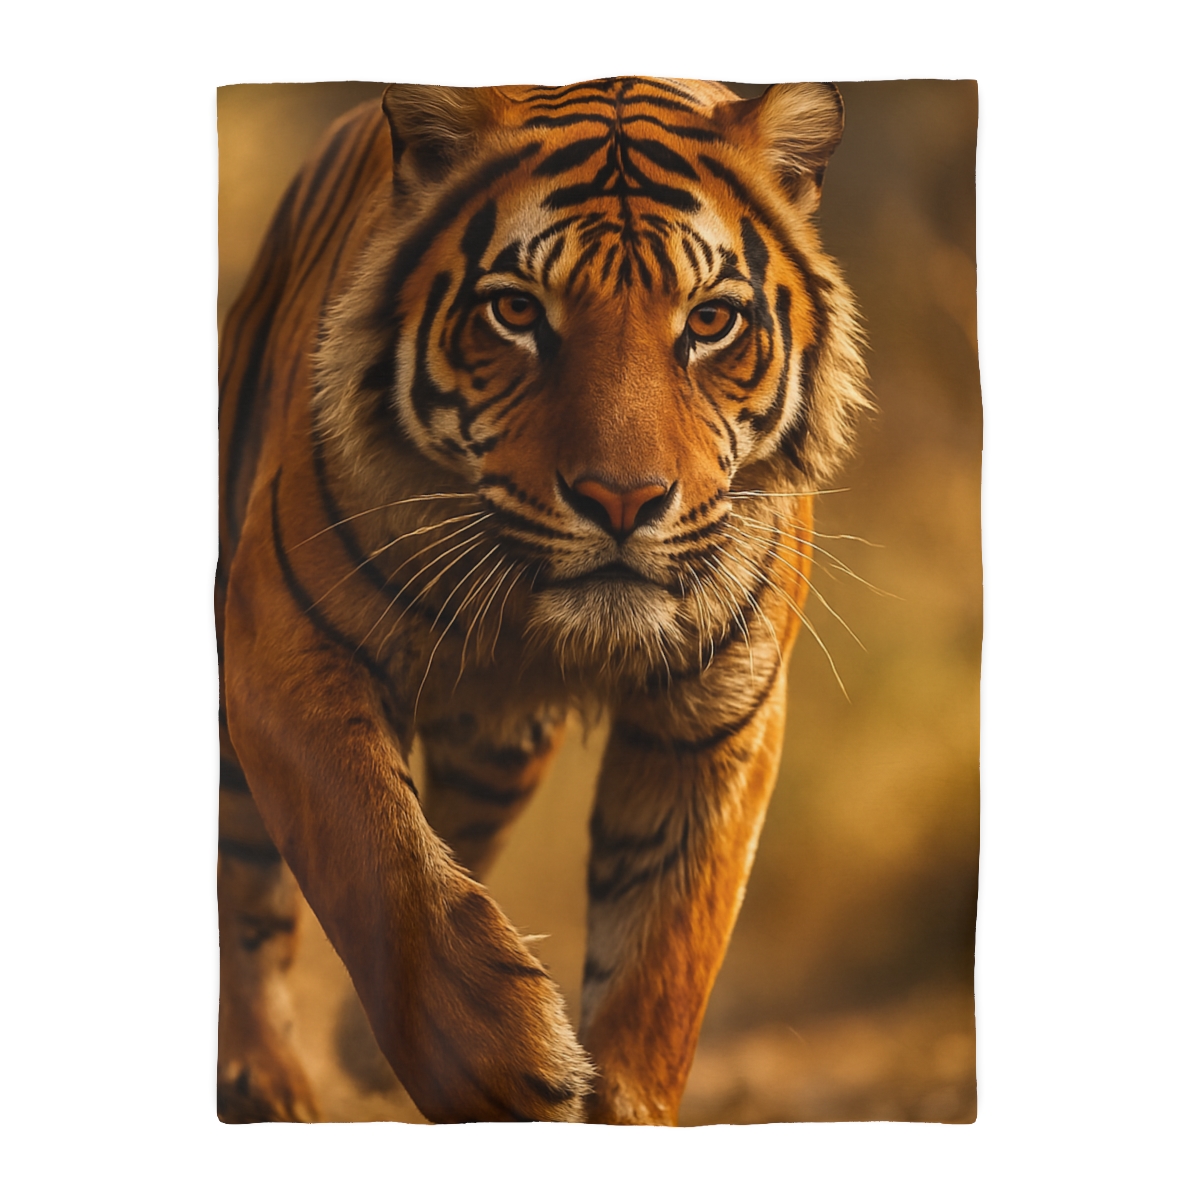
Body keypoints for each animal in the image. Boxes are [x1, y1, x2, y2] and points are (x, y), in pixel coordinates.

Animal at [217, 76, 869, 1125]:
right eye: (517, 311)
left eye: (711, 322)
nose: (624, 500)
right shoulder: (285, 645)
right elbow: (376, 856)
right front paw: (502, 1065)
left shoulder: (717, 719)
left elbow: (660, 962)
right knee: (247, 881)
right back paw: (264, 1080)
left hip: (501, 748)